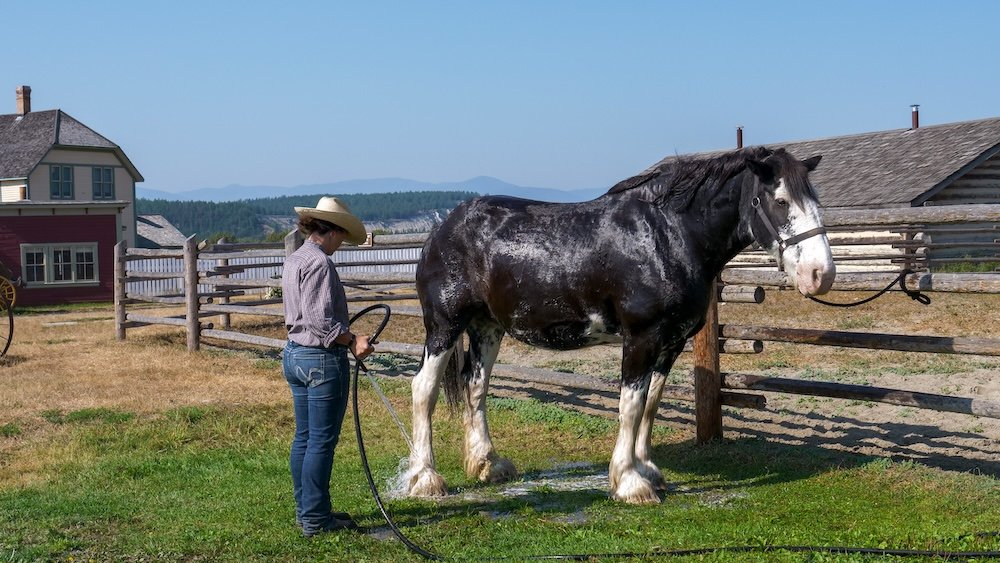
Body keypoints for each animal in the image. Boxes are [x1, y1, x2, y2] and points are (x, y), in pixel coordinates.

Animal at [407, 147, 835, 504]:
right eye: (780, 201)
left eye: (815, 202)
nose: (821, 274)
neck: (668, 235)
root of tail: (441, 228)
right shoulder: (641, 338)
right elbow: (630, 405)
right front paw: (630, 483)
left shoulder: (670, 343)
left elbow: (651, 404)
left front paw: (650, 472)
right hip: (444, 326)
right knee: (424, 389)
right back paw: (425, 479)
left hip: (487, 328)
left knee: (475, 386)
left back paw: (488, 465)